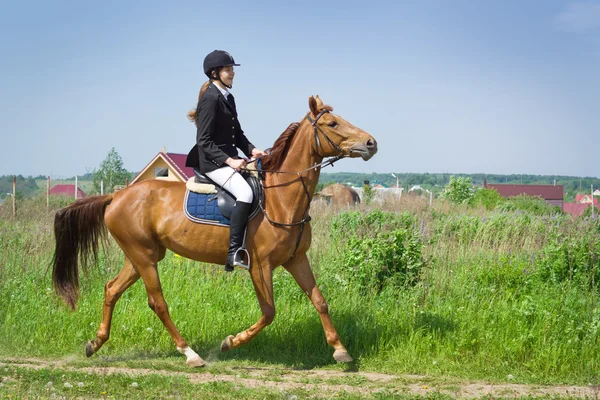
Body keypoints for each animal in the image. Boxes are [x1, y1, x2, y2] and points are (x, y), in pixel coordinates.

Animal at [54, 95, 378, 368]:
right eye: (332, 124)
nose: (371, 142)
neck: (280, 198)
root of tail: (116, 196)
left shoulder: (296, 259)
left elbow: (320, 301)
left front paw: (340, 350)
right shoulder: (260, 265)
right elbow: (269, 312)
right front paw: (230, 342)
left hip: (141, 255)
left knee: (112, 289)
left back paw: (95, 343)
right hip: (143, 257)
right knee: (158, 302)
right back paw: (190, 354)